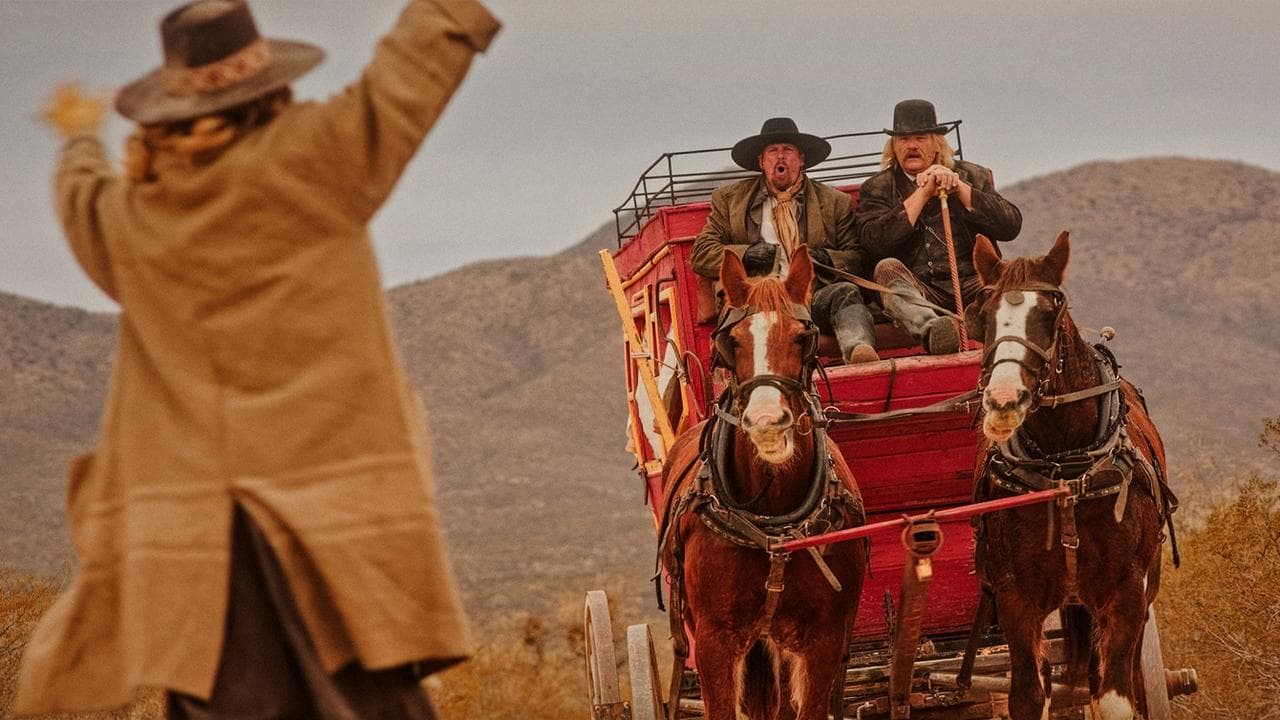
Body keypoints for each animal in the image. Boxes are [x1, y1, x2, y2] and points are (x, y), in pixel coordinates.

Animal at [660, 248, 870, 717]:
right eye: (731, 341)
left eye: (801, 337)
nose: (767, 423)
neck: (772, 521)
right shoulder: (715, 640)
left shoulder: (823, 639)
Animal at [967, 233, 1172, 712]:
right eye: (983, 314)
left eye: (1050, 311)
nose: (1004, 401)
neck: (1065, 471)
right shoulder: (1016, 600)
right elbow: (1028, 696)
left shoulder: (1126, 595)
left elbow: (1114, 697)